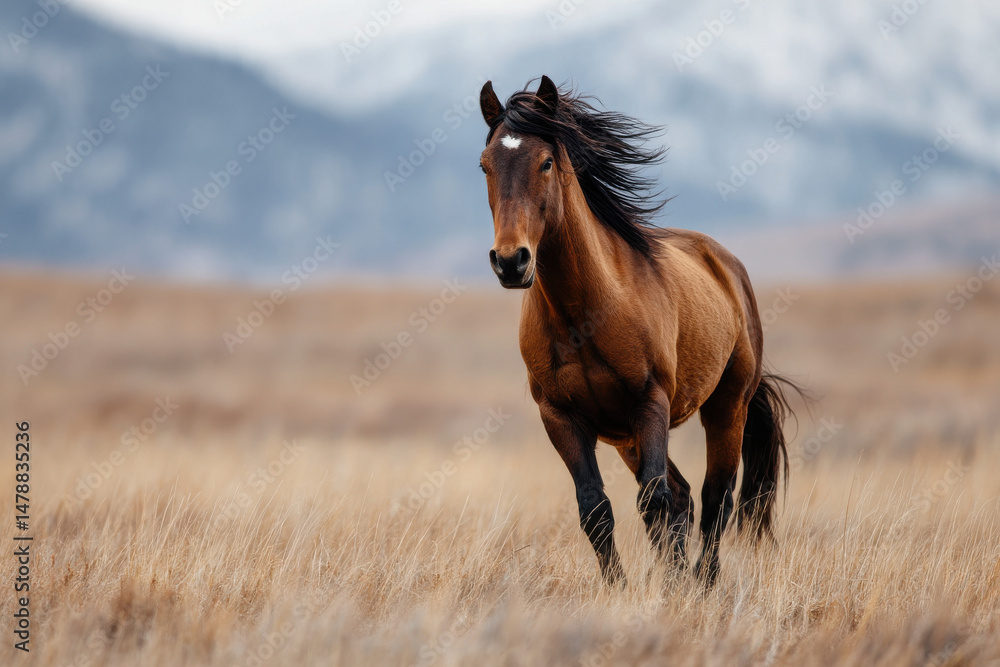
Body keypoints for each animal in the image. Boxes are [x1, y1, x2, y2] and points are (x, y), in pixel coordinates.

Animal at [477, 76, 801, 586]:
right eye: (485, 165)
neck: (584, 315)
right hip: (627, 436)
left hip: (726, 408)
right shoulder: (561, 417)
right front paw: (621, 588)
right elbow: (595, 507)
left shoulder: (649, 403)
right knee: (684, 495)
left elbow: (654, 501)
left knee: (715, 497)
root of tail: (726, 265)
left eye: (545, 162)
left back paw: (704, 583)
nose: (511, 262)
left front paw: (665, 591)